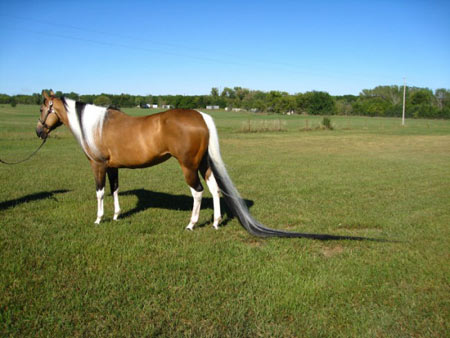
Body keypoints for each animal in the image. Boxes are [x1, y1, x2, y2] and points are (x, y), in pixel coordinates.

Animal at [36, 88, 376, 239]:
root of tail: (200, 115)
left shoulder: (97, 165)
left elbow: (99, 192)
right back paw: (214, 222)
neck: (95, 124)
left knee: (198, 193)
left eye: (43, 107)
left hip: (188, 167)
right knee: (214, 191)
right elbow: (116, 190)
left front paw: (99, 219)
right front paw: (119, 215)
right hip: (204, 164)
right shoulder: (113, 167)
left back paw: (192, 224)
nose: (39, 131)